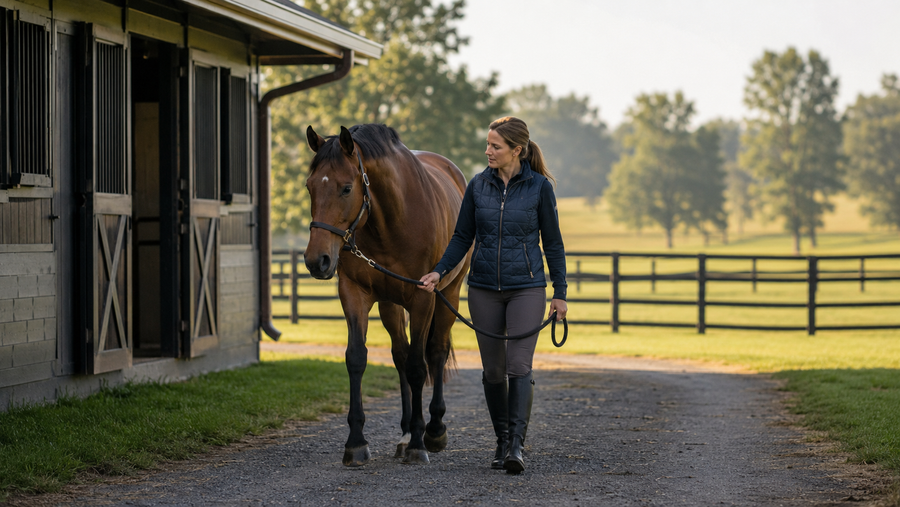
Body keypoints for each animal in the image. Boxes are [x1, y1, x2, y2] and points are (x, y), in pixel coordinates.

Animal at [303, 124, 471, 465]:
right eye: (310, 187)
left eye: (346, 188)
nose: (317, 261)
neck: (393, 221)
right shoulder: (354, 294)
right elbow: (357, 358)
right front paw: (356, 443)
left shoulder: (423, 298)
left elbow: (419, 367)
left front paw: (420, 443)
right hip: (391, 305)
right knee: (400, 355)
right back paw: (406, 434)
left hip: (450, 293)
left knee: (435, 351)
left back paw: (433, 431)